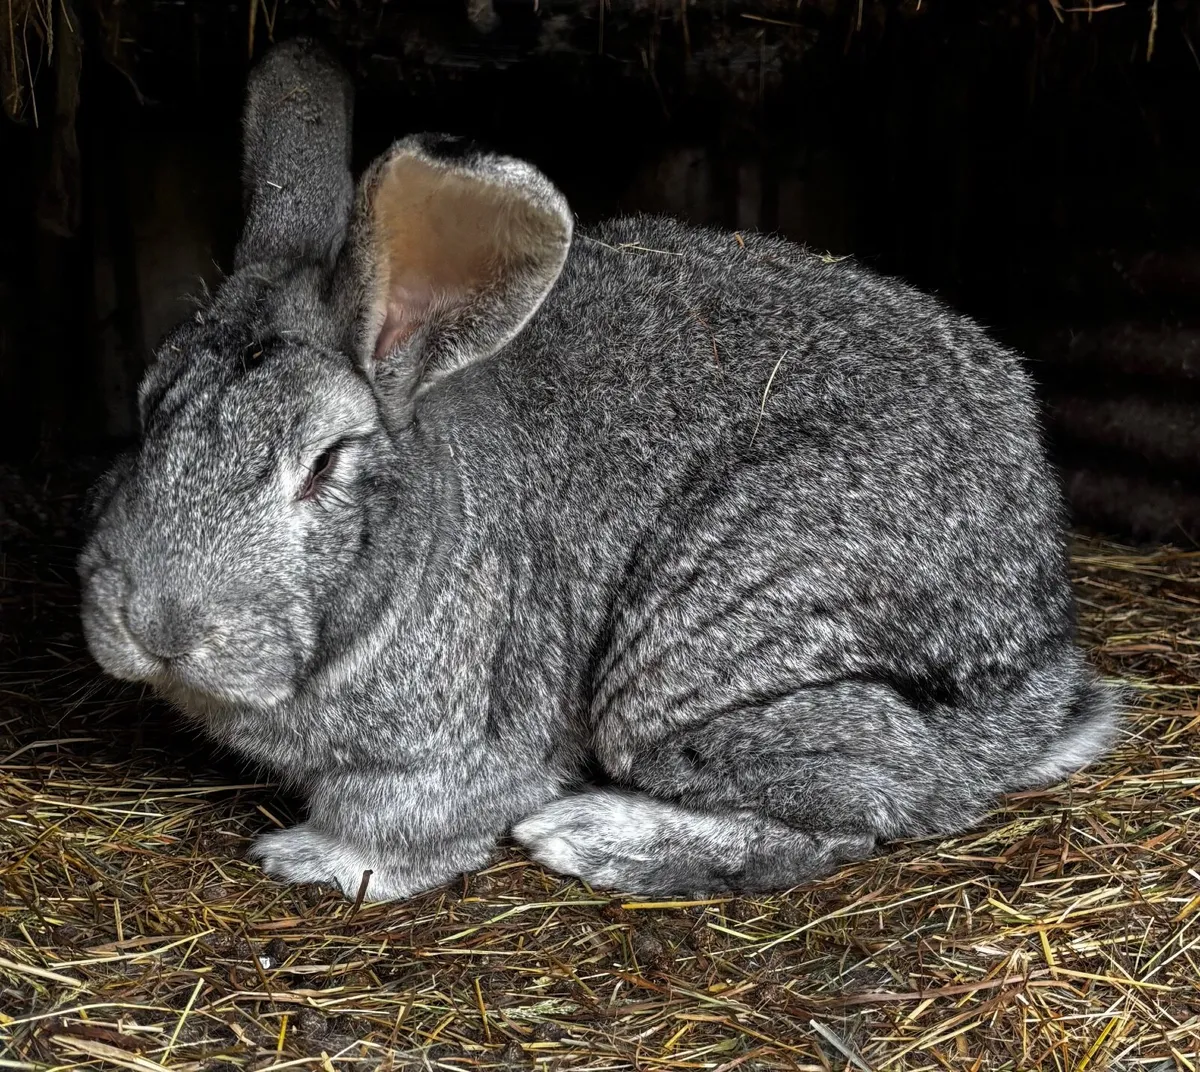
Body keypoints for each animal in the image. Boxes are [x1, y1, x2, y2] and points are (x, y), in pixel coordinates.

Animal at [78, 38, 1118, 902]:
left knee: (860, 805)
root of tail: (1036, 672)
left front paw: (310, 858)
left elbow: (399, 827)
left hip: (702, 651)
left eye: (324, 461)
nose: (154, 624)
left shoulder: (450, 748)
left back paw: (591, 835)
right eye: (144, 408)